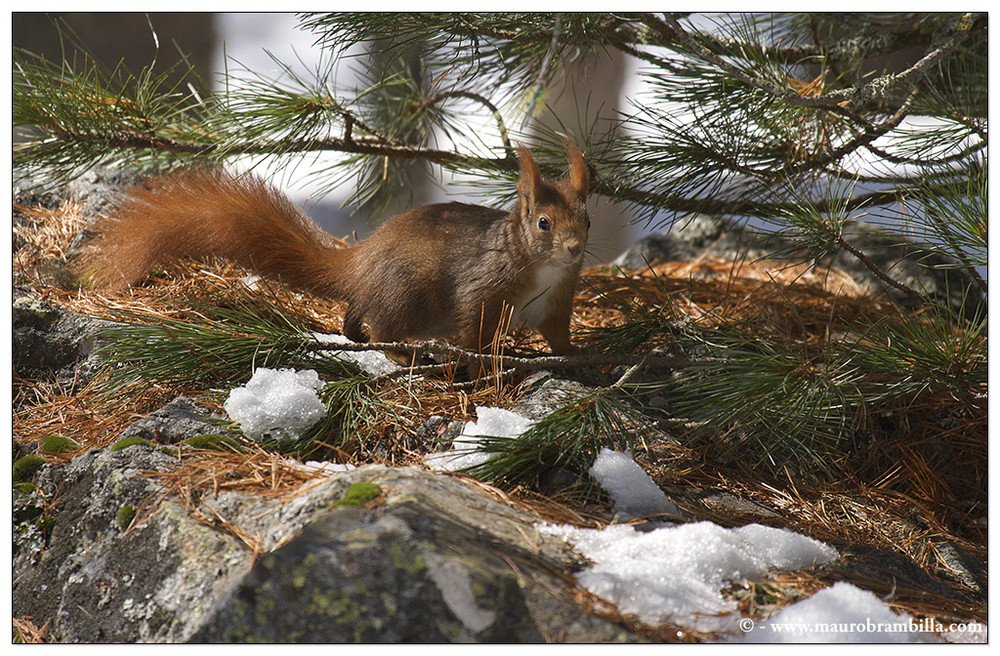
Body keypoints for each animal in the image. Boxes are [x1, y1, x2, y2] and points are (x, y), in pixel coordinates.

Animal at [84, 140, 592, 354]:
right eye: (543, 223)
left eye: (587, 219)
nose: (574, 250)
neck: (540, 267)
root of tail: (360, 263)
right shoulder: (481, 291)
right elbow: (473, 337)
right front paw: (482, 372)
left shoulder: (557, 301)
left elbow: (558, 336)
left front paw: (576, 358)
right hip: (409, 295)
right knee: (381, 331)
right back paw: (403, 354)